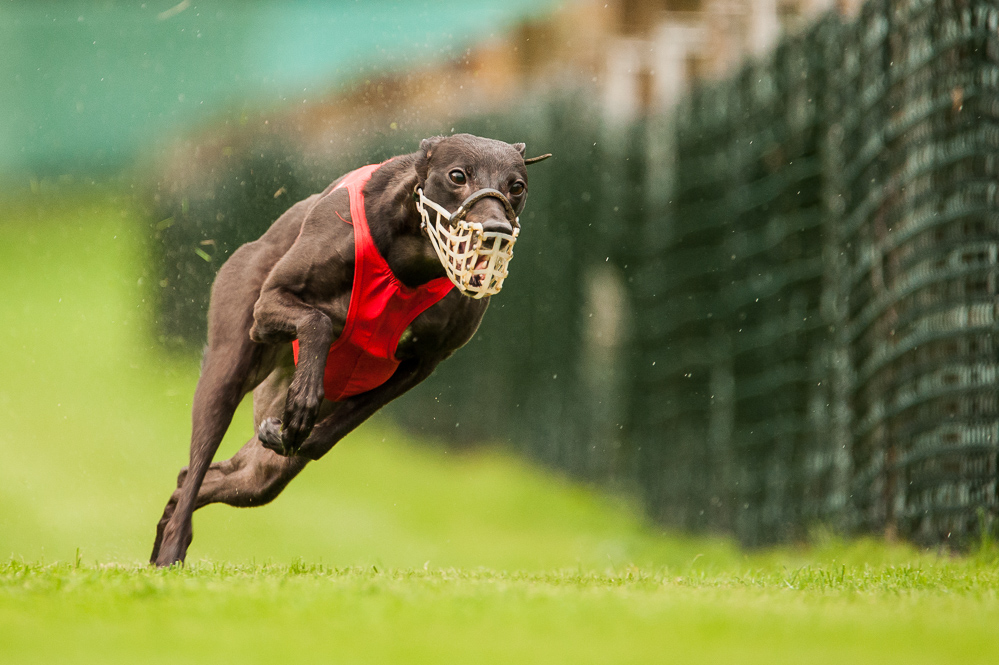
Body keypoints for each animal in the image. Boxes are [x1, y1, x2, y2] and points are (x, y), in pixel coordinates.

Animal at [152, 134, 552, 564]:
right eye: (458, 176)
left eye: (517, 186)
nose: (495, 230)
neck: (414, 257)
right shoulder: (269, 305)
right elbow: (318, 320)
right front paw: (305, 397)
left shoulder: (421, 364)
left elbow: (332, 429)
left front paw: (297, 432)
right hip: (229, 367)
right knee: (198, 463)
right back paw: (172, 546)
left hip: (264, 470)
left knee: (217, 479)